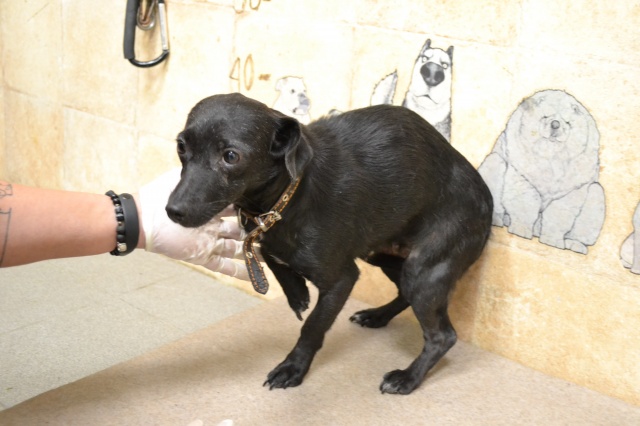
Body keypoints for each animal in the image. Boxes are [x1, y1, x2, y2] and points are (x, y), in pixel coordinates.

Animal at [166, 93, 493, 394]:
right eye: (181, 146)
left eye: (231, 156)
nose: (172, 211)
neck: (286, 198)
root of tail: (487, 199)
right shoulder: (265, 238)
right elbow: (272, 257)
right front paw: (297, 294)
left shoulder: (342, 280)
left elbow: (312, 326)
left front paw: (293, 367)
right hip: (382, 254)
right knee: (403, 294)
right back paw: (376, 316)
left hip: (425, 270)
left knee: (442, 336)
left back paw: (407, 378)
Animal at [478, 90, 604, 254]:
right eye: (545, 116)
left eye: (567, 121)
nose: (555, 124)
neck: (551, 157)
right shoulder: (522, 176)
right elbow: (525, 204)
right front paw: (521, 230)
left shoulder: (572, 189)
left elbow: (559, 216)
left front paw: (553, 241)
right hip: (494, 161)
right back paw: (500, 221)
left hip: (597, 195)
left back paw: (575, 245)